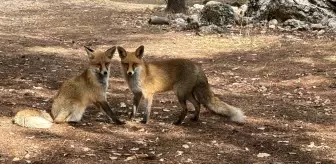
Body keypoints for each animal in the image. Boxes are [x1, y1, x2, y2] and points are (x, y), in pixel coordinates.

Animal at [117, 44, 245, 124]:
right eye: (126, 64)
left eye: (134, 64)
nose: (129, 73)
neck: (139, 77)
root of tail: (197, 66)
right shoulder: (137, 94)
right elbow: (133, 109)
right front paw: (130, 118)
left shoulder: (149, 95)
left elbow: (146, 111)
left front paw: (144, 121)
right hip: (186, 94)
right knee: (198, 104)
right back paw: (195, 119)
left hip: (180, 94)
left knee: (186, 109)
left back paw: (178, 122)